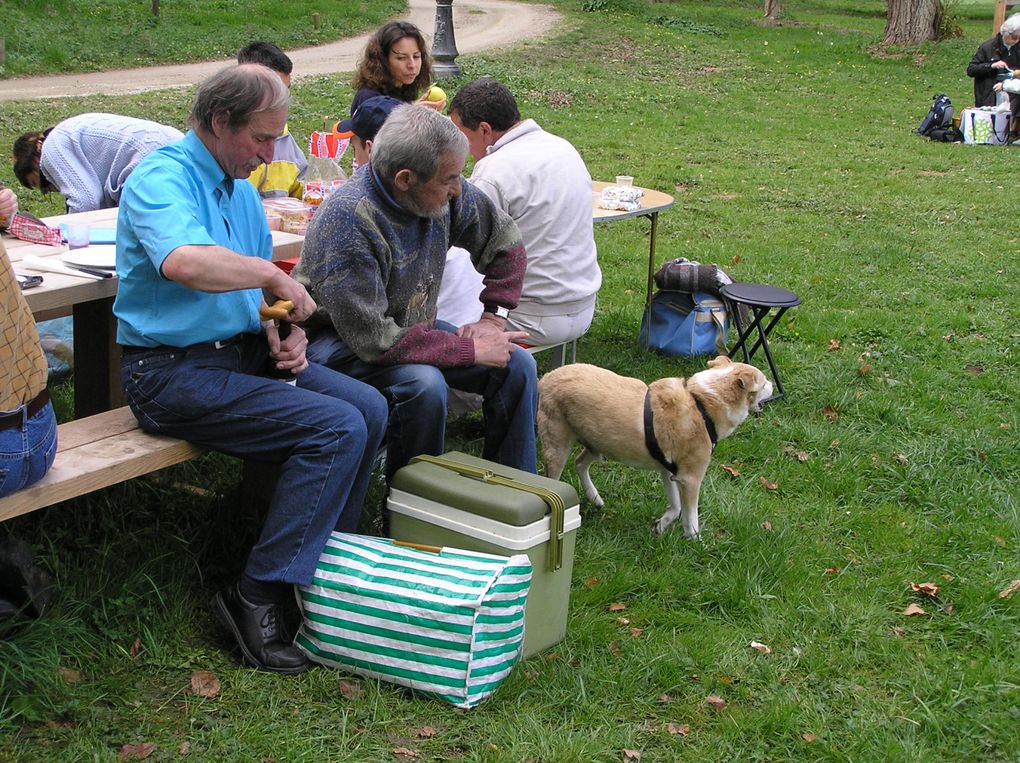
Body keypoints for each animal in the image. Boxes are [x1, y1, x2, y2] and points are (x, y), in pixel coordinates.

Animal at [538, 357, 767, 534]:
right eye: (764, 384)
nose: (772, 384)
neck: (702, 404)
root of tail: (546, 376)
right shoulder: (690, 478)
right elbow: (691, 517)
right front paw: (696, 542)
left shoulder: (670, 472)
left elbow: (676, 508)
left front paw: (661, 526)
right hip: (558, 447)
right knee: (554, 478)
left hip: (599, 445)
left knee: (580, 463)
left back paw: (595, 498)